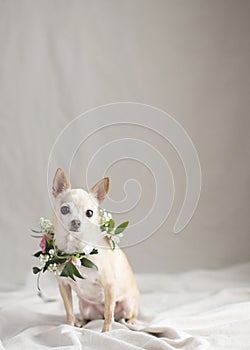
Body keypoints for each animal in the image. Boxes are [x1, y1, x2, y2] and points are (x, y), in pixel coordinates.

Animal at [52, 168, 140, 332]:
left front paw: (105, 332)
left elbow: (108, 313)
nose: (76, 222)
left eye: (90, 213)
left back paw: (130, 323)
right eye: (65, 209)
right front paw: (69, 328)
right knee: (89, 317)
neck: (77, 252)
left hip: (128, 305)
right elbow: (69, 312)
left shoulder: (109, 286)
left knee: (122, 315)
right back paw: (81, 322)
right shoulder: (64, 285)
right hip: (84, 306)